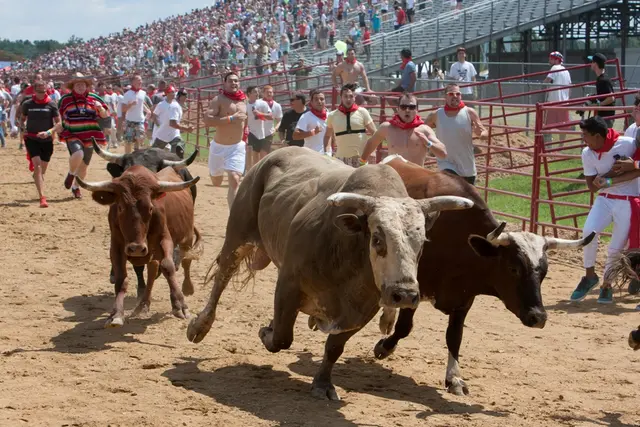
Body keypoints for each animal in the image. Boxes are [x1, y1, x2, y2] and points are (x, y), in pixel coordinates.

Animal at [76, 166, 204, 330]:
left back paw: (187, 287)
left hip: (186, 238)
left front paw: (180, 305)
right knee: (152, 272)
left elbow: (168, 267)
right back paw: (143, 305)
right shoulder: (116, 246)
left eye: (150, 208)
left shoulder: (165, 239)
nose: (136, 248)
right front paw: (116, 314)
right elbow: (121, 278)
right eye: (120, 207)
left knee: (186, 262)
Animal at [185, 147, 476, 402]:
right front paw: (266, 331)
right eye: (378, 239)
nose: (404, 294)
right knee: (222, 277)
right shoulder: (289, 283)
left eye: (422, 242)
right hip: (238, 234)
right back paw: (199, 326)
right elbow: (281, 337)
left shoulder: (363, 310)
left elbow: (334, 347)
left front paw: (322, 384)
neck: (348, 249)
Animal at [372, 155, 596, 396]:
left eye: (544, 273)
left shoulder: (464, 298)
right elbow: (404, 327)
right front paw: (384, 347)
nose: (539, 317)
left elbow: (454, 336)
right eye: (513, 268)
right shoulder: (415, 287)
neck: (456, 237)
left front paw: (454, 378)